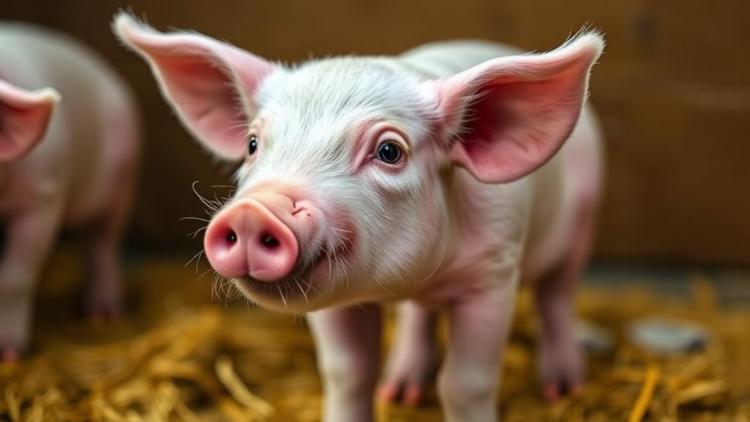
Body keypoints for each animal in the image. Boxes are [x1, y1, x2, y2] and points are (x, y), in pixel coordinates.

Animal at [0, 22, 140, 361]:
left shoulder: (44, 194)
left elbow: (15, 275)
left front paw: (8, 355)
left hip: (124, 178)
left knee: (101, 243)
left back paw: (102, 317)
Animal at [114, 13, 603, 422]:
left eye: (389, 151)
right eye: (253, 143)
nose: (256, 211)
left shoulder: (494, 273)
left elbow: (466, 384)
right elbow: (348, 373)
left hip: (581, 224)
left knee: (557, 296)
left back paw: (563, 388)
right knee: (419, 317)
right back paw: (399, 391)